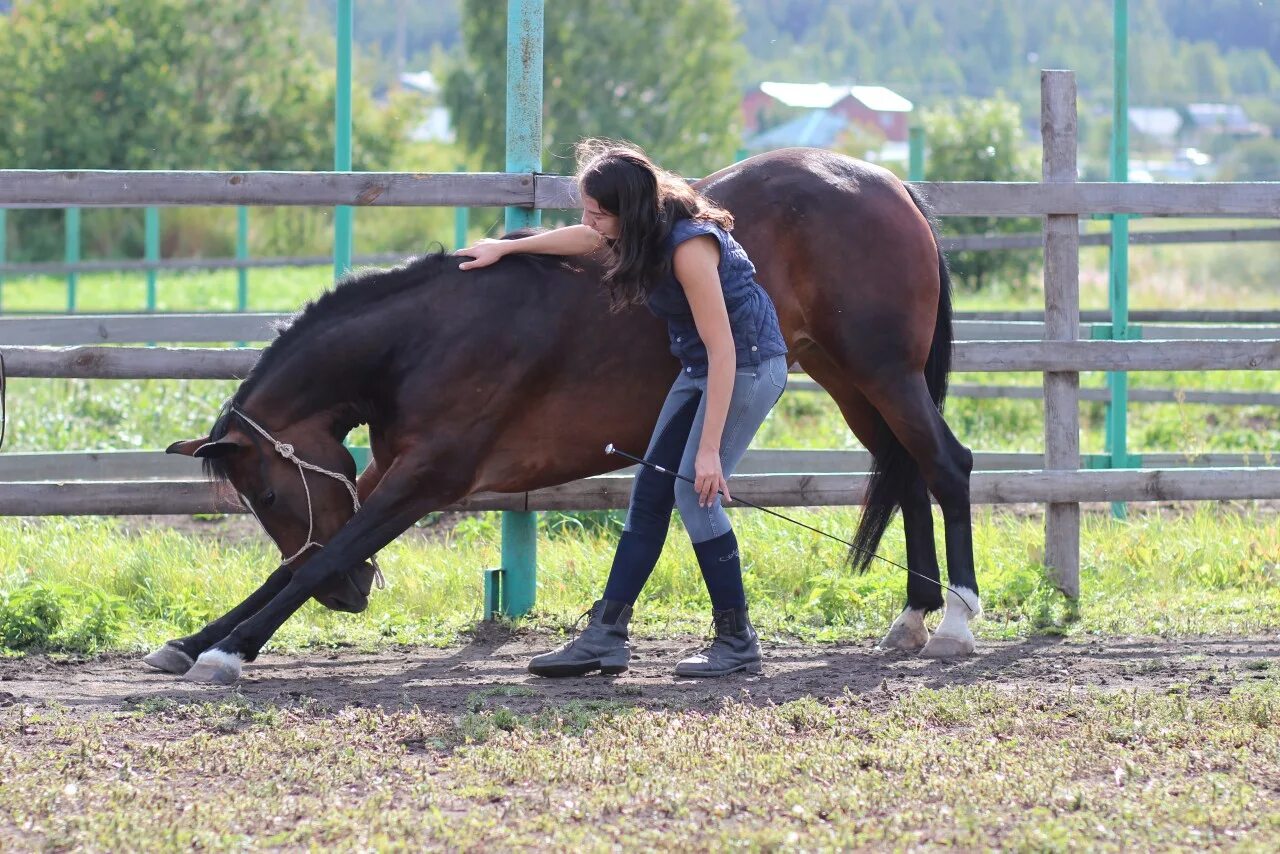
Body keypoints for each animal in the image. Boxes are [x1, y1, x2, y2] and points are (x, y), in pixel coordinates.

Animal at [149, 143, 972, 686]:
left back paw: (955, 622)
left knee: (944, 465)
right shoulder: (386, 468)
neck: (430, 336)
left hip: (883, 373)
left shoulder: (427, 478)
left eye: (267, 493)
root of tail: (892, 184)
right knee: (904, 471)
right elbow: (293, 563)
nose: (352, 599)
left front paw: (229, 651)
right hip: (849, 378)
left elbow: (322, 551)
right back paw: (912, 616)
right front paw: (190, 642)